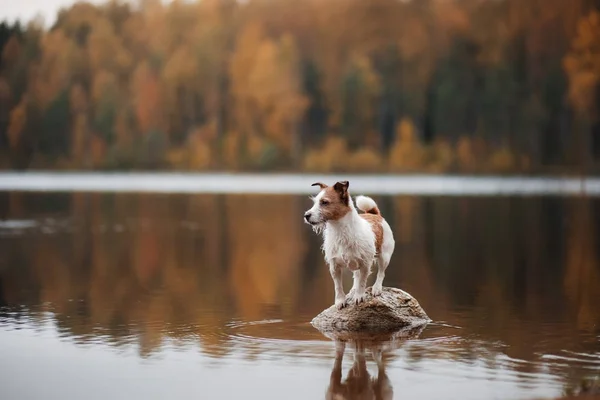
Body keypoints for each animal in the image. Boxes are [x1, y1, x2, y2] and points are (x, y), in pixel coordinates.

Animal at [304, 180, 394, 310]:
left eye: (324, 202)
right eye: (315, 202)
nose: (306, 215)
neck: (339, 230)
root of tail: (374, 214)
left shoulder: (365, 264)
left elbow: (362, 282)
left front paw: (359, 296)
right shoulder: (334, 266)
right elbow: (338, 286)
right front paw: (340, 300)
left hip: (384, 256)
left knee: (381, 272)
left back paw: (376, 288)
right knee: (356, 275)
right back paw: (353, 290)